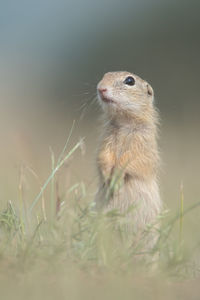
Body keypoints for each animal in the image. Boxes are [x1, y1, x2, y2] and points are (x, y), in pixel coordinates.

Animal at [94, 71, 162, 248]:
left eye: (130, 81)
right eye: (105, 75)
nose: (101, 88)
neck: (124, 122)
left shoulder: (143, 144)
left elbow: (131, 161)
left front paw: (116, 179)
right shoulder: (106, 140)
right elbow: (103, 156)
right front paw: (107, 179)